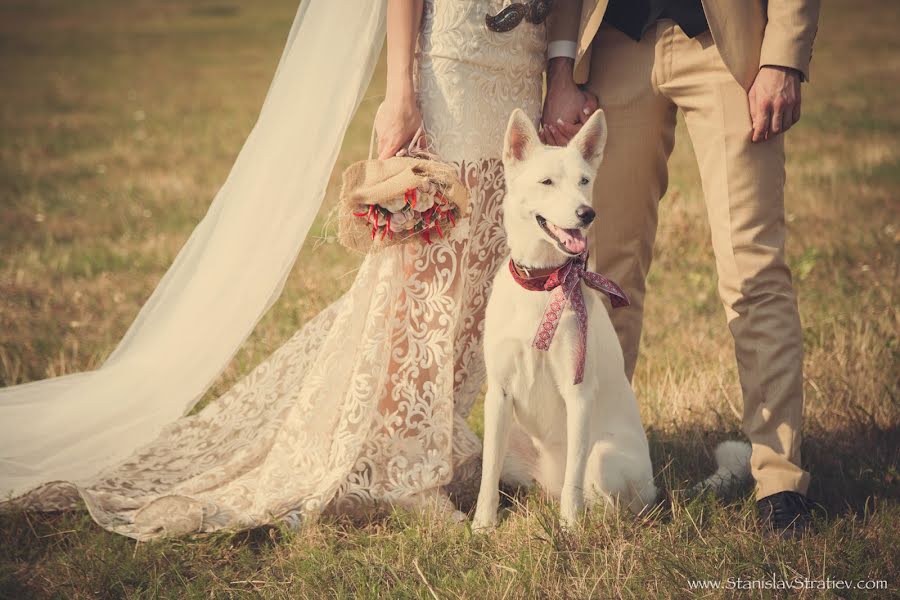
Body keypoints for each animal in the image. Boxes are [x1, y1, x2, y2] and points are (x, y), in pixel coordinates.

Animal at [472, 109, 752, 528]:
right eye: (547, 182)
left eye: (584, 181)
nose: (587, 214)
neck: (543, 283)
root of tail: (657, 491)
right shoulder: (500, 395)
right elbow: (488, 476)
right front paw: (482, 526)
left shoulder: (578, 392)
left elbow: (574, 482)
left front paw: (568, 530)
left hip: (604, 458)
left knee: (603, 501)